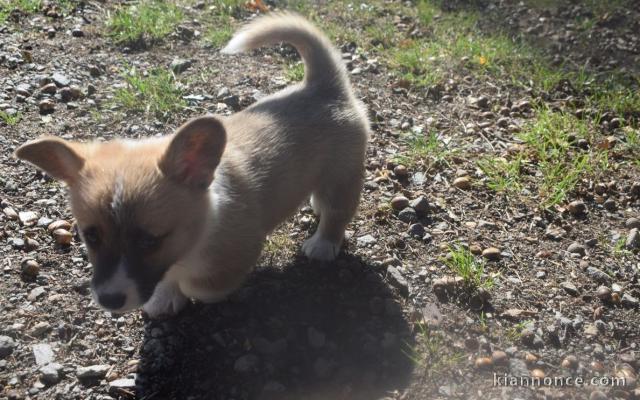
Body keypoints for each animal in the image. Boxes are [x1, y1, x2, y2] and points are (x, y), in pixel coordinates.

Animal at [16, 12, 370, 318]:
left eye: (149, 241)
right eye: (90, 236)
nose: (109, 301)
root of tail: (323, 86)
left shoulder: (239, 253)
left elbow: (202, 286)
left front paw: (187, 291)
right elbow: (169, 280)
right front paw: (166, 297)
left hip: (342, 177)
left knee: (337, 213)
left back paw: (322, 245)